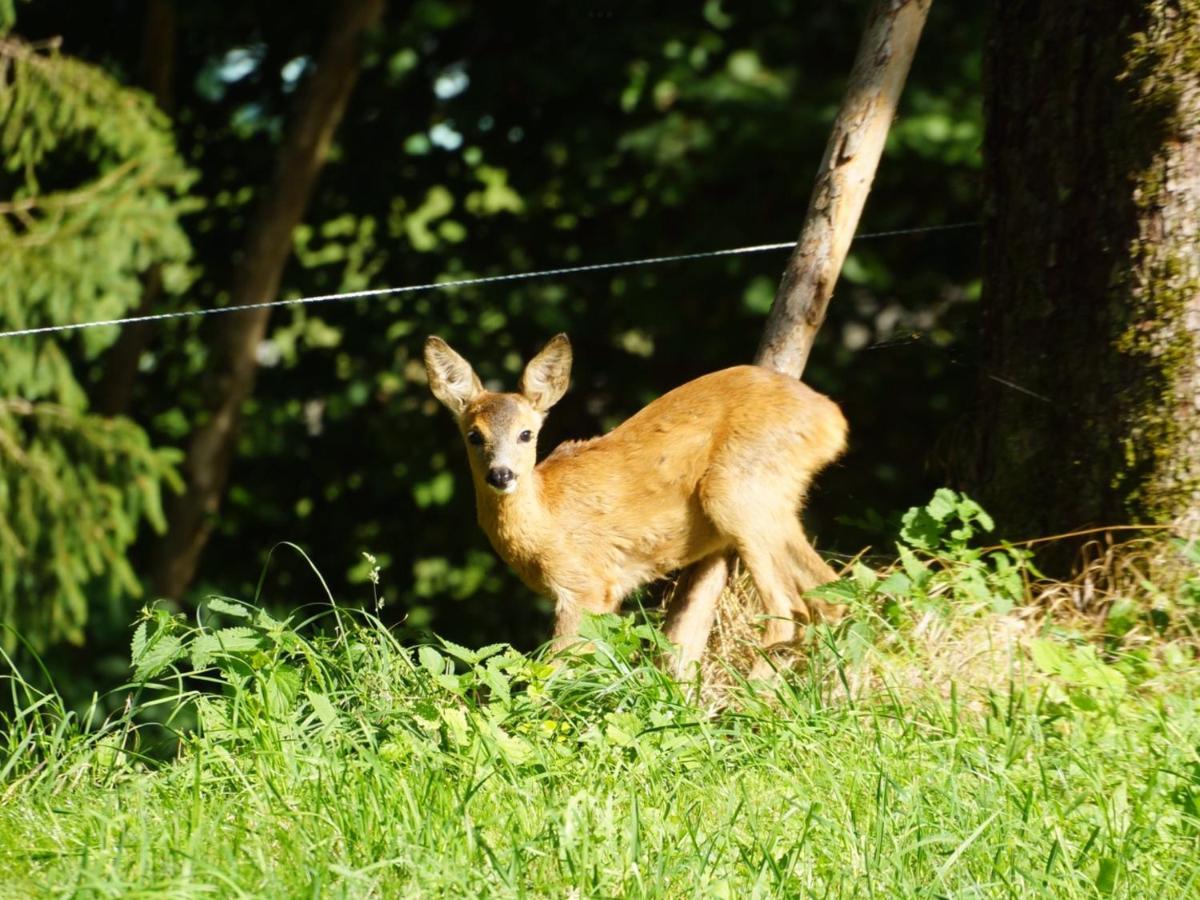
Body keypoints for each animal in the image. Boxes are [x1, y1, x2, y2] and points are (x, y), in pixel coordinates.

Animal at [427, 336, 849, 681]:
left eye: (526, 434)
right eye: (474, 435)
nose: (501, 474)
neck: (546, 519)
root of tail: (833, 419)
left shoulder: (587, 586)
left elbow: (557, 670)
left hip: (734, 490)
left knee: (790, 612)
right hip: (775, 500)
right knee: (830, 596)